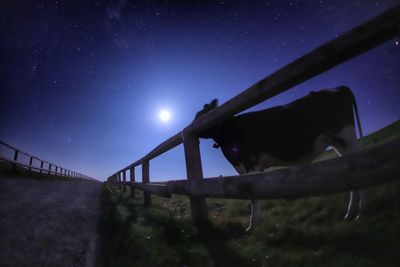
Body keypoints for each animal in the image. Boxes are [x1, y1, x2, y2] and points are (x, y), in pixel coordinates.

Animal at [194, 86, 366, 232]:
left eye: (200, 115)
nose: (191, 128)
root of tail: (339, 87)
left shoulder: (250, 163)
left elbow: (253, 196)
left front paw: (251, 227)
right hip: (338, 143)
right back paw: (351, 214)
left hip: (345, 136)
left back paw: (357, 213)